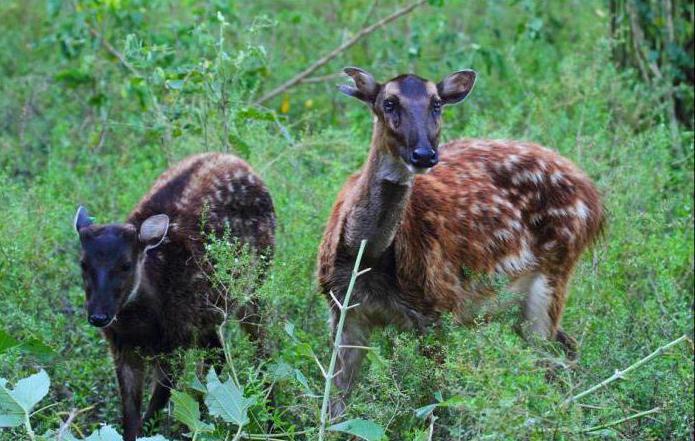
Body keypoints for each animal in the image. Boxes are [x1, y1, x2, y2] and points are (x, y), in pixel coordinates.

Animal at [72, 152, 274, 440]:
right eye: (83, 263)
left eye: (125, 265)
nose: (99, 316)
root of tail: (238, 160)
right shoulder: (121, 346)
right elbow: (130, 415)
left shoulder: (174, 344)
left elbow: (156, 407)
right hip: (207, 315)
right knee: (217, 352)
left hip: (255, 282)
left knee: (262, 346)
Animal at [318, 67, 608, 414]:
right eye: (389, 102)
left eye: (436, 103)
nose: (424, 154)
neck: (367, 259)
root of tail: (595, 198)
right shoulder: (342, 308)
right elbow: (336, 406)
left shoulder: (439, 308)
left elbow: (435, 402)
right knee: (567, 350)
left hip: (555, 271)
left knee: (548, 360)